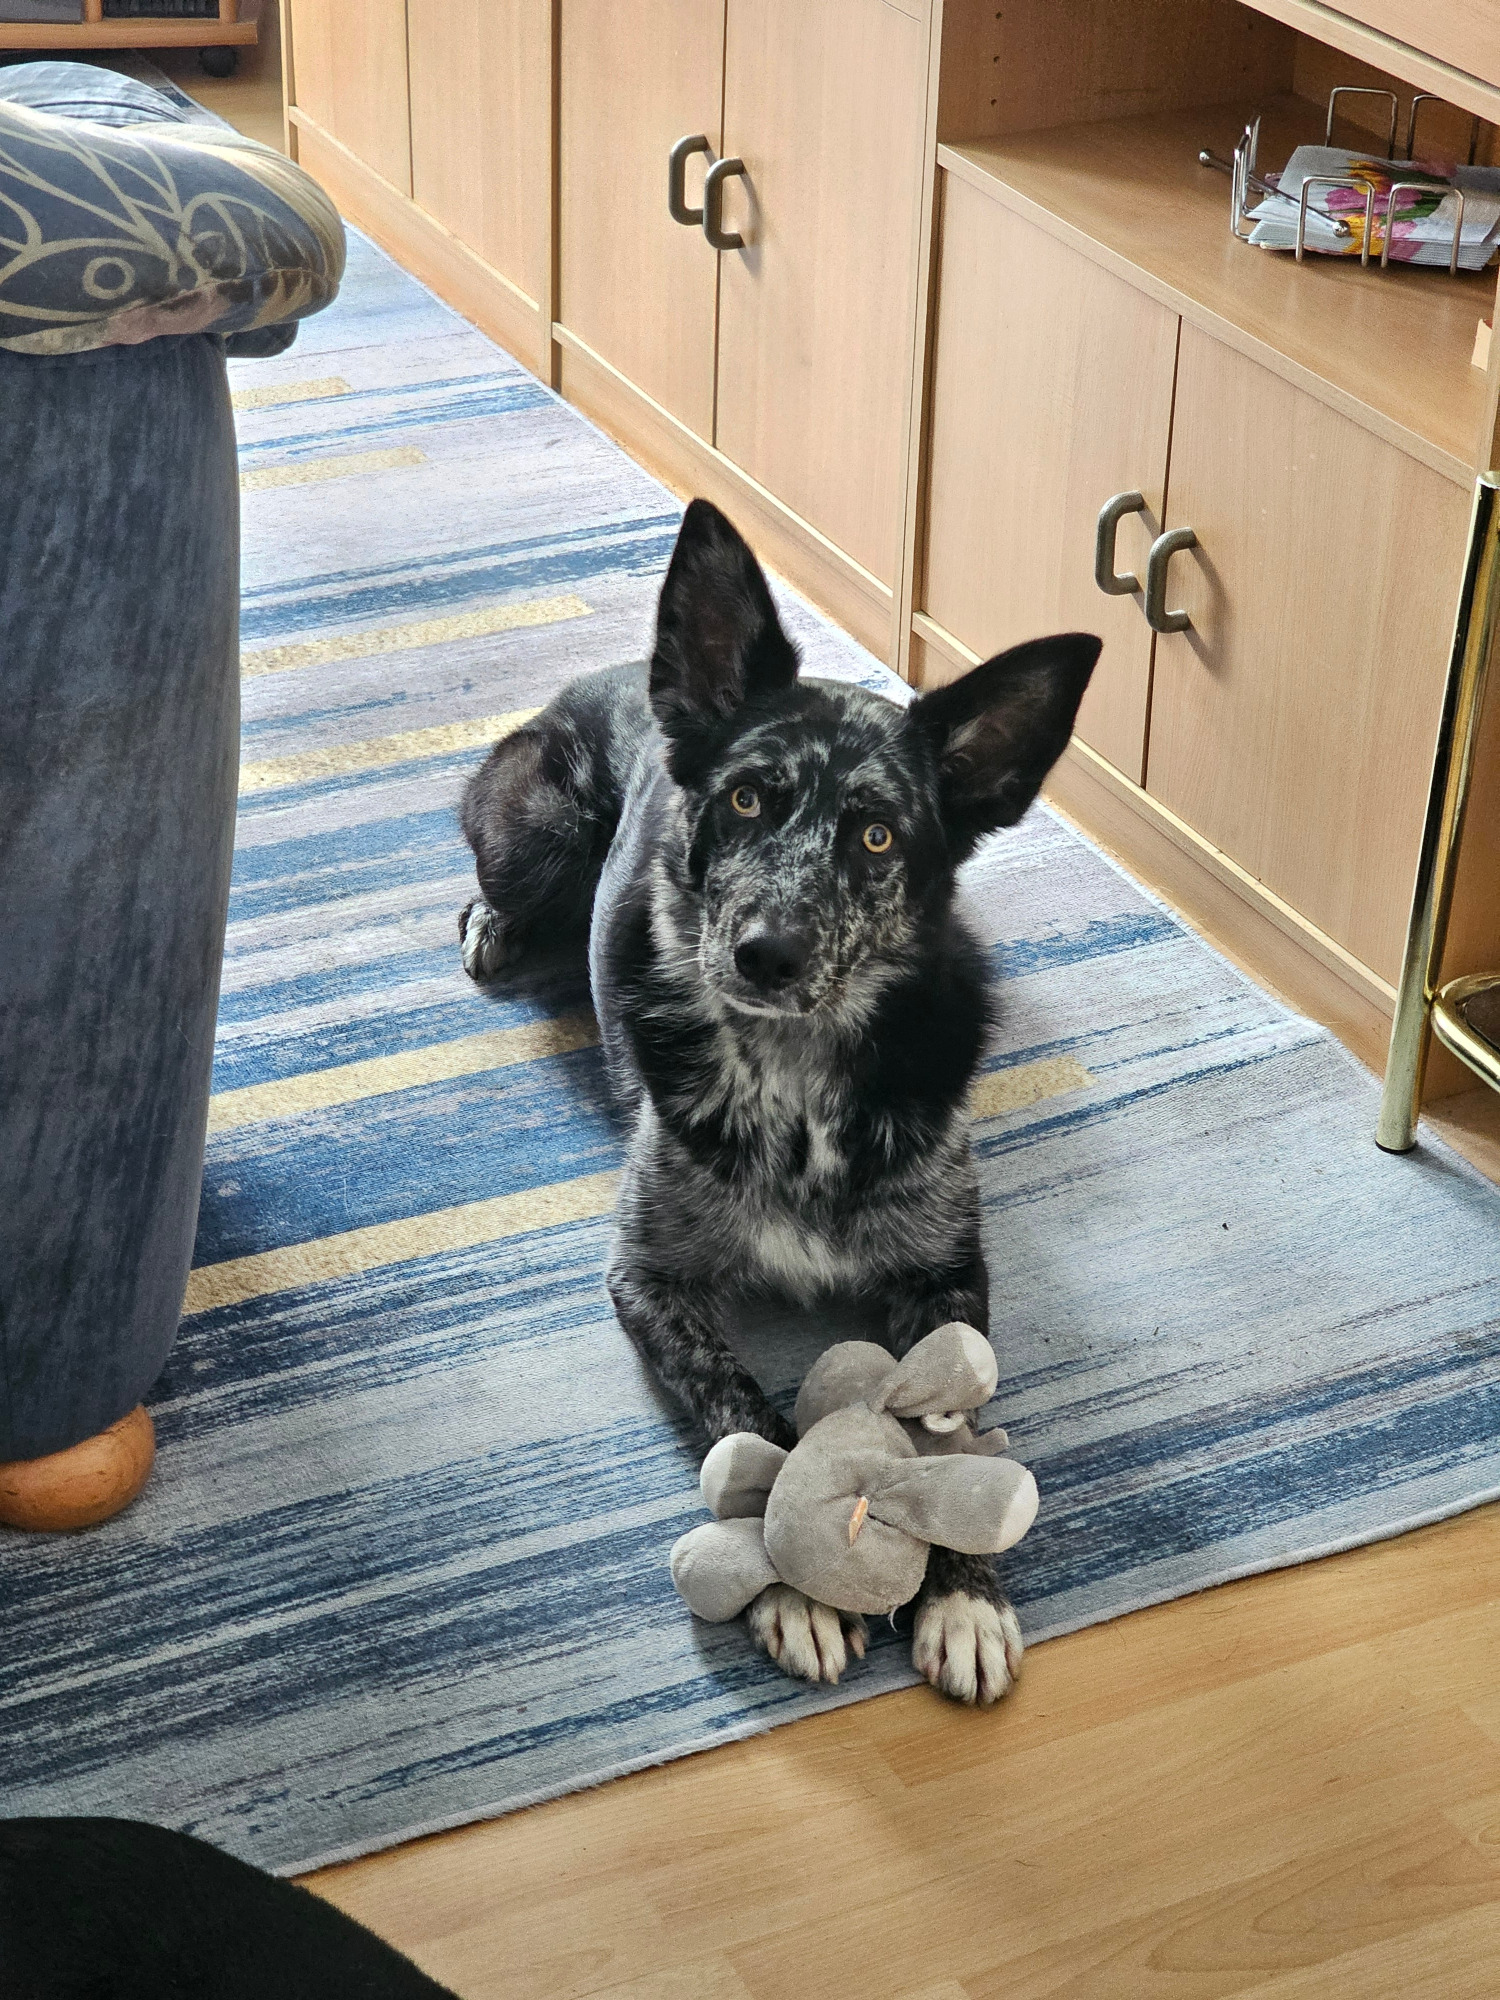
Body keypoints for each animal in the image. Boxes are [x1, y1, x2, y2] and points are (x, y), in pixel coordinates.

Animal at [459, 500, 1099, 1704]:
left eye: (878, 834)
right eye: (749, 797)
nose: (765, 952)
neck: (796, 1076)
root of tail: (614, 674)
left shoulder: (947, 1271)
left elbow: (950, 1426)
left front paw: (965, 1595)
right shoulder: (650, 1275)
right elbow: (736, 1408)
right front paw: (793, 1586)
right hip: (539, 826)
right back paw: (495, 926)